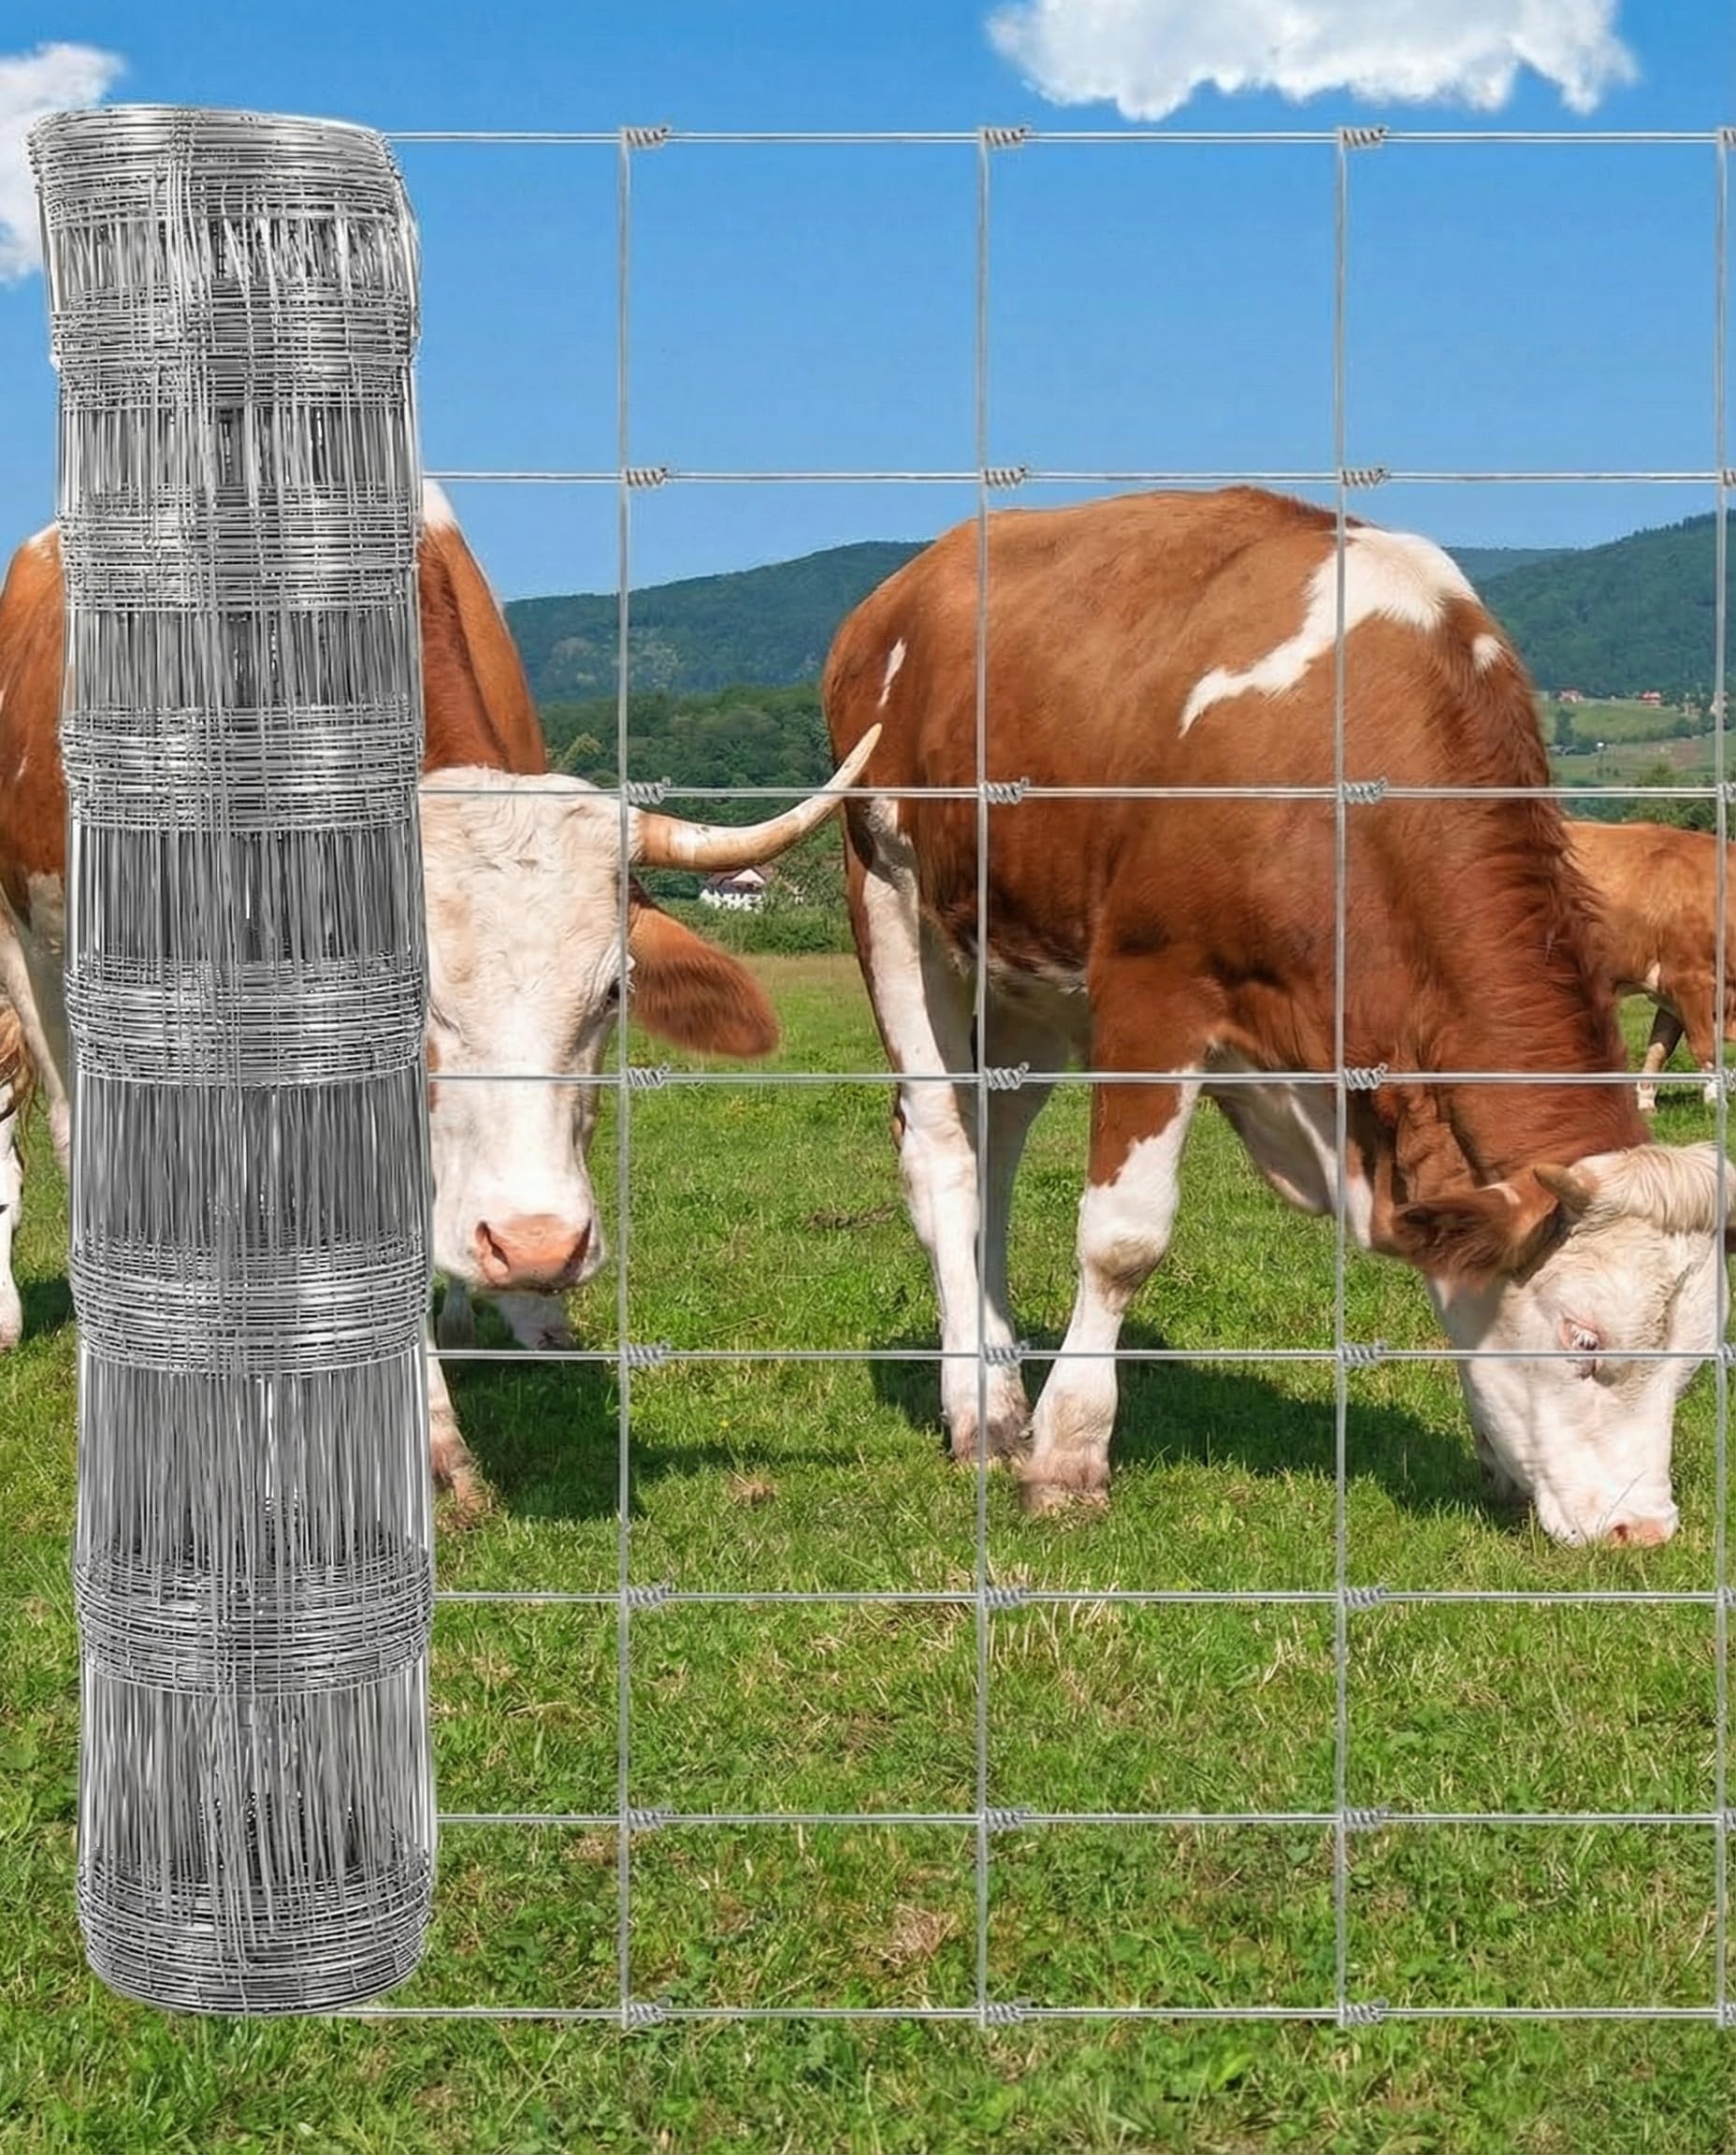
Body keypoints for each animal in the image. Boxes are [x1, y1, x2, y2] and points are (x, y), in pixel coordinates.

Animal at [1566, 818, 1736, 1114]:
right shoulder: (1689, 978)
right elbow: (1705, 1046)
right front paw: (1718, 1101)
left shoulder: (1669, 991)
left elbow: (1660, 1047)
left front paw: (1645, 1101)